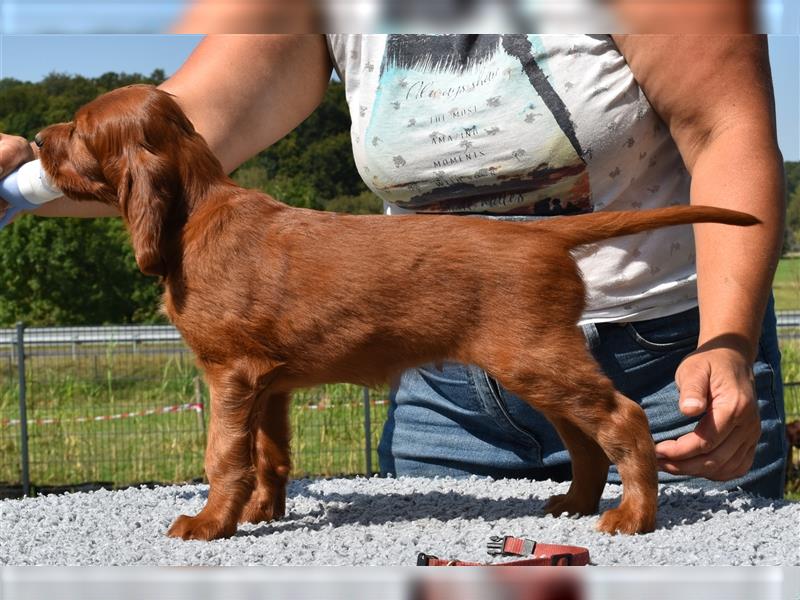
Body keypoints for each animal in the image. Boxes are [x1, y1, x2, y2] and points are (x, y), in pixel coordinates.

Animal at [37, 84, 760, 540]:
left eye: (80, 129)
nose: (38, 138)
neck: (195, 217)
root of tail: (543, 233)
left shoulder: (231, 376)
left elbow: (225, 456)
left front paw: (210, 524)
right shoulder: (268, 384)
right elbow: (270, 454)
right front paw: (262, 512)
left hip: (536, 357)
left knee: (623, 417)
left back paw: (632, 517)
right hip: (536, 361)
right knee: (585, 437)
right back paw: (574, 505)